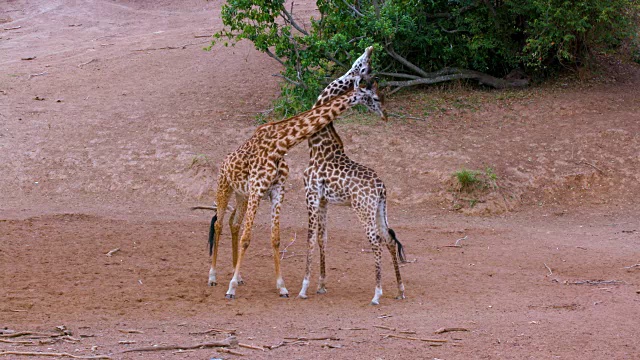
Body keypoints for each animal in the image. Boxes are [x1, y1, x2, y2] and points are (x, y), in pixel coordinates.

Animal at [205, 80, 384, 300]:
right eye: (374, 97)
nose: (384, 115)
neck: (279, 145)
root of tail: (224, 160)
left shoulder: (276, 191)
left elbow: (275, 238)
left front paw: (281, 287)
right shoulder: (257, 189)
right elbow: (247, 238)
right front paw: (230, 289)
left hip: (242, 195)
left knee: (234, 223)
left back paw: (237, 276)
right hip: (224, 186)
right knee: (218, 224)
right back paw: (213, 277)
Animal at [296, 46, 404, 306]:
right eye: (364, 65)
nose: (370, 48)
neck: (317, 144)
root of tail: (381, 188)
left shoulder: (310, 195)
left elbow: (310, 238)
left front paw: (303, 288)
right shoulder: (323, 200)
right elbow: (323, 238)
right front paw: (321, 285)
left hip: (362, 208)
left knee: (376, 241)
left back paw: (377, 294)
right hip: (379, 209)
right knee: (389, 239)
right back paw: (399, 289)